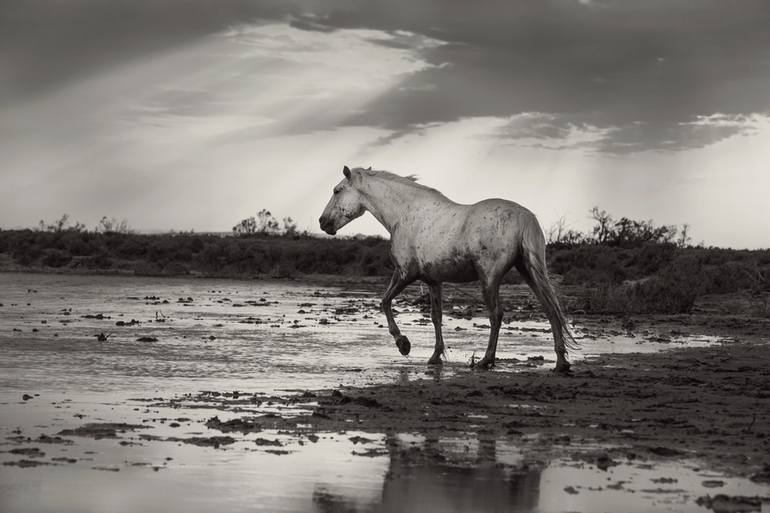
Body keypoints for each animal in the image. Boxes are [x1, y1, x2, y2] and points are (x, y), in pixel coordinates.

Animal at [316, 167, 572, 372]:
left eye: (337, 190)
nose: (322, 222)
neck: (405, 213)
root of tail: (524, 217)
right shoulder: (433, 281)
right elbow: (436, 317)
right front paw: (435, 356)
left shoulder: (405, 274)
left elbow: (385, 302)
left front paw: (403, 344)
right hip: (528, 271)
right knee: (550, 310)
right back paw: (561, 362)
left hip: (489, 278)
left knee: (496, 315)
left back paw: (485, 361)